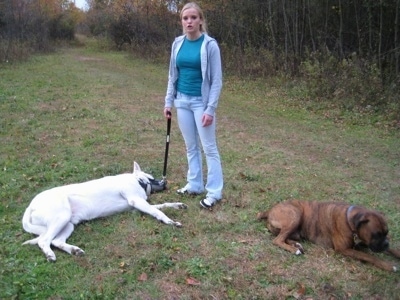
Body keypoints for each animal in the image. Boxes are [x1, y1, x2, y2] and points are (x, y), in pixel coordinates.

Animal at [20, 161, 186, 262]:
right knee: (43, 240)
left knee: (56, 241)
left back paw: (74, 250)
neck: (138, 181)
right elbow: (159, 212)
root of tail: (30, 206)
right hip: (61, 217)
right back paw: (50, 254)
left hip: (68, 224)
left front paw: (177, 205)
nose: (165, 182)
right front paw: (171, 221)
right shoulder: (137, 201)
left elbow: (163, 205)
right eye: (152, 178)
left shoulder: (138, 206)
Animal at [256, 199, 400, 272]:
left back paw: (297, 245)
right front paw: (389, 266)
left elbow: (391, 250)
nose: (386, 243)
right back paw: (294, 249)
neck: (350, 220)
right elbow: (369, 256)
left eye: (386, 233)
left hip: (296, 230)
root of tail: (269, 210)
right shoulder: (344, 249)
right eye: (376, 234)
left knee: (284, 237)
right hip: (296, 215)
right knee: (277, 240)